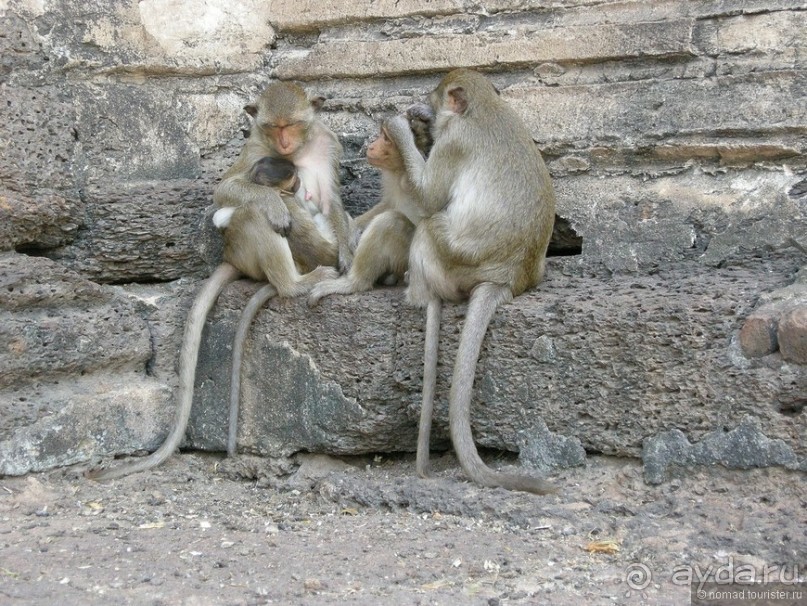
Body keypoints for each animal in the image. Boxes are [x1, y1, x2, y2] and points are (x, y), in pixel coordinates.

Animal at [89, 83, 344, 482]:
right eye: (273, 128)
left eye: (292, 125)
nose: (284, 144)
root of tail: (232, 257)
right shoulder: (255, 149)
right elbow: (226, 190)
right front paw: (274, 202)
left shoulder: (327, 144)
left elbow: (333, 200)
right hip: (247, 250)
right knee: (252, 214)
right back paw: (294, 280)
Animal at [308, 110, 436, 306]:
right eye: (381, 135)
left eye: (386, 138)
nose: (372, 145)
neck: (401, 171)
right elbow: (388, 202)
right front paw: (351, 229)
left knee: (390, 222)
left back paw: (353, 283)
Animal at [386, 69, 556, 496]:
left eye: (436, 96)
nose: (426, 108)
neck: (486, 107)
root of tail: (506, 277)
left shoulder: (454, 142)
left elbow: (429, 197)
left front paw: (400, 127)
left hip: (455, 262)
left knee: (430, 225)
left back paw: (416, 290)